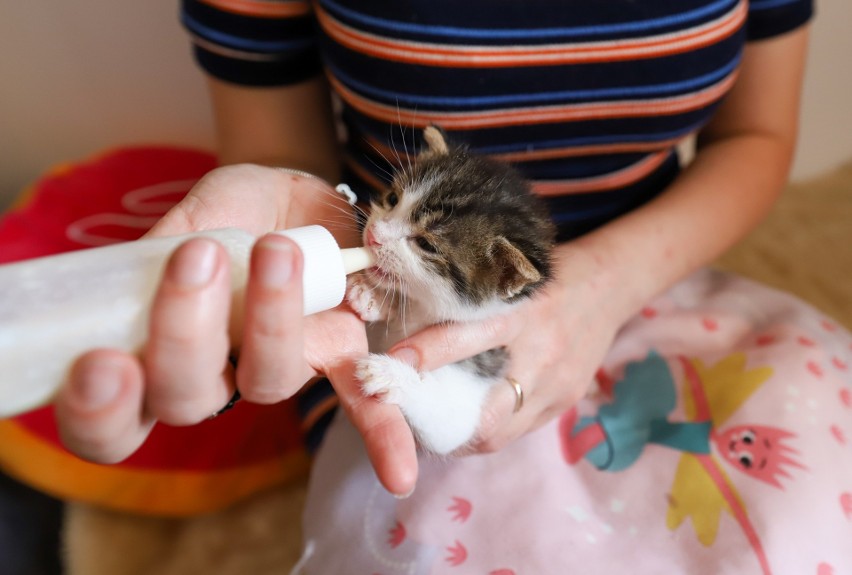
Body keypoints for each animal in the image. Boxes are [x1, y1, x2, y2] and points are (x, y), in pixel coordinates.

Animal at [348, 128, 556, 456]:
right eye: (392, 199)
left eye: (425, 244)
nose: (373, 236)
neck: (424, 309)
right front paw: (374, 298)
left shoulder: (481, 367)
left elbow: (449, 423)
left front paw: (391, 376)